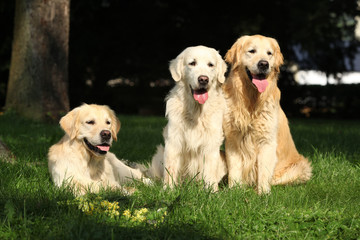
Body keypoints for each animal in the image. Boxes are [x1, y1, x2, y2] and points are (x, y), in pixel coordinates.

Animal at [149, 46, 228, 190]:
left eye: (211, 65)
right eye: (192, 63)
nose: (203, 79)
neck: (196, 112)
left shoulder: (211, 144)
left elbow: (209, 171)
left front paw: (211, 191)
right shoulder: (173, 141)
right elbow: (170, 169)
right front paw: (168, 190)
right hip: (159, 155)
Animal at [224, 34, 310, 194]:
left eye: (269, 53)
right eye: (252, 51)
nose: (264, 64)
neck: (252, 101)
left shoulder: (267, 141)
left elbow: (264, 170)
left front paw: (263, 193)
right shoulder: (233, 138)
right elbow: (234, 169)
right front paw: (234, 190)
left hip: (301, 167)